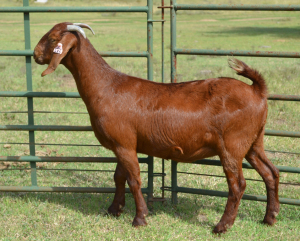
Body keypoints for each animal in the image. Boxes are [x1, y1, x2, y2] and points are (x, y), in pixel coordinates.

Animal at [34, 22, 280, 233]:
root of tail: (257, 90)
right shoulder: (123, 143)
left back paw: (222, 226)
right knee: (271, 172)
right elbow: (119, 176)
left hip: (232, 145)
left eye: (53, 38)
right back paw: (270, 217)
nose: (35, 54)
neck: (106, 86)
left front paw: (140, 218)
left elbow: (134, 179)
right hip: (254, 142)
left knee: (238, 185)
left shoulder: (123, 144)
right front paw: (114, 209)